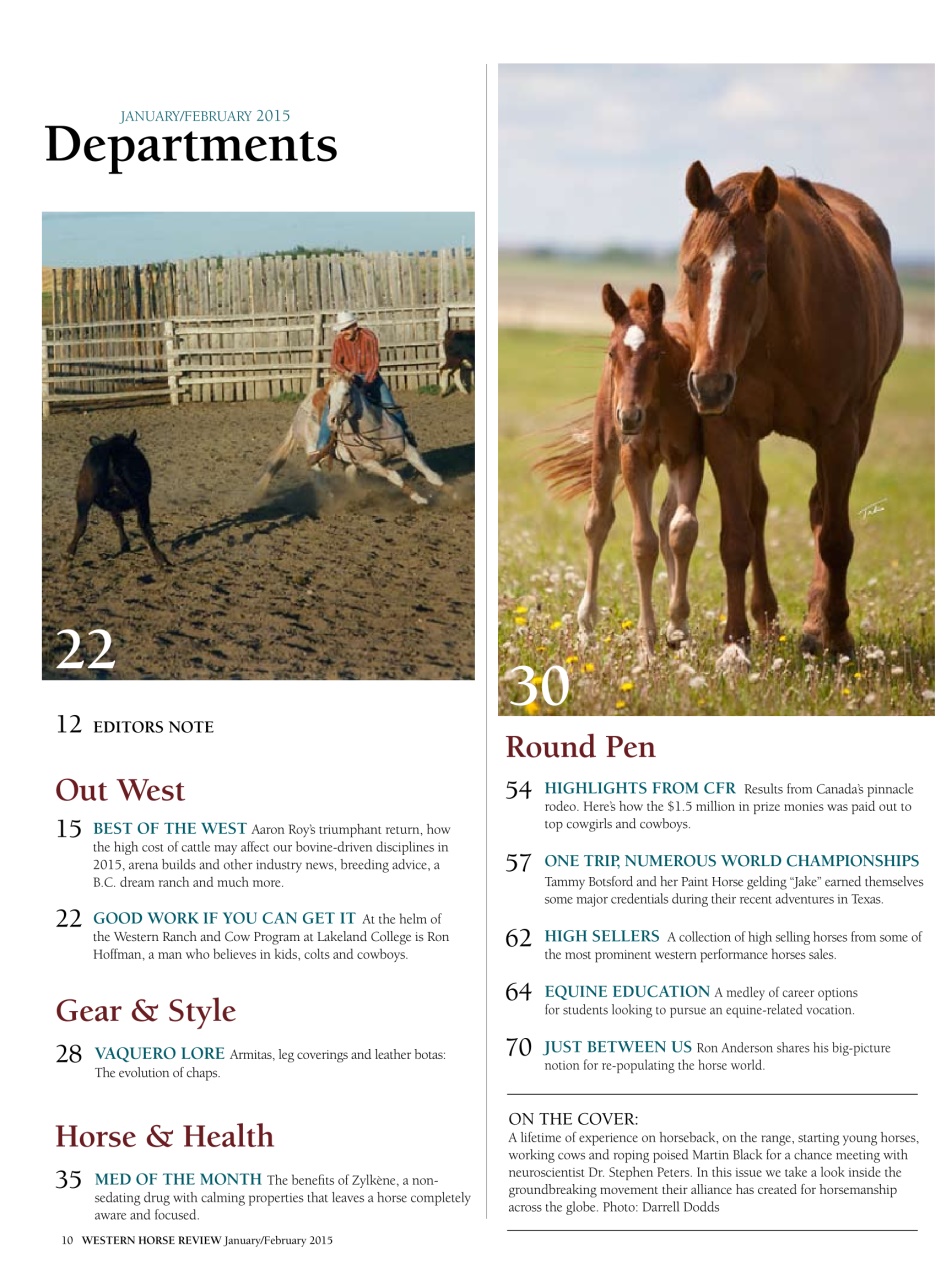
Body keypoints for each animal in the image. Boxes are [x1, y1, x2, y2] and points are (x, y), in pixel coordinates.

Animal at [66, 431, 170, 568]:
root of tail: (110, 451)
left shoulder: (111, 504)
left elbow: (118, 520)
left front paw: (125, 545)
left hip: (84, 494)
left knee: (81, 524)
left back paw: (68, 556)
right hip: (141, 499)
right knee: (144, 525)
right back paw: (161, 559)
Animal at [256, 374, 444, 505]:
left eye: (347, 393)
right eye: (329, 396)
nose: (331, 420)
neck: (373, 429)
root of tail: (300, 410)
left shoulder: (406, 448)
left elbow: (432, 475)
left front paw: (448, 491)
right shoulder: (368, 463)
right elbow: (395, 477)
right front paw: (419, 498)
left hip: (349, 462)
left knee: (349, 477)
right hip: (312, 450)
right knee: (317, 474)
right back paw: (330, 498)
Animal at [536, 283, 707, 652]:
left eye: (657, 354)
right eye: (613, 353)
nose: (629, 417)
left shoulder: (689, 458)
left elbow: (682, 530)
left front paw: (678, 624)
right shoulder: (634, 461)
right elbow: (643, 543)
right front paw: (647, 640)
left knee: (665, 518)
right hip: (605, 453)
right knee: (598, 520)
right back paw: (586, 624)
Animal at [678, 161, 903, 660]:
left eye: (757, 272)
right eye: (691, 269)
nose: (709, 384)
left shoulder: (839, 435)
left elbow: (835, 537)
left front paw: (837, 635)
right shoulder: (727, 431)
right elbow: (736, 536)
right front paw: (735, 643)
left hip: (861, 422)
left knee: (822, 512)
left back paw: (818, 624)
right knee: (759, 508)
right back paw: (765, 618)